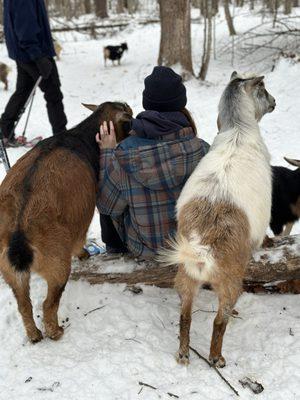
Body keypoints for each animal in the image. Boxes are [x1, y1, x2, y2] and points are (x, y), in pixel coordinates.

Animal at [0, 101, 132, 342]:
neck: (82, 135)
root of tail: (18, 230)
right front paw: (84, 253)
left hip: (10, 271)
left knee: (24, 305)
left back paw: (34, 335)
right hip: (57, 264)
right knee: (48, 304)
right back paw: (55, 331)